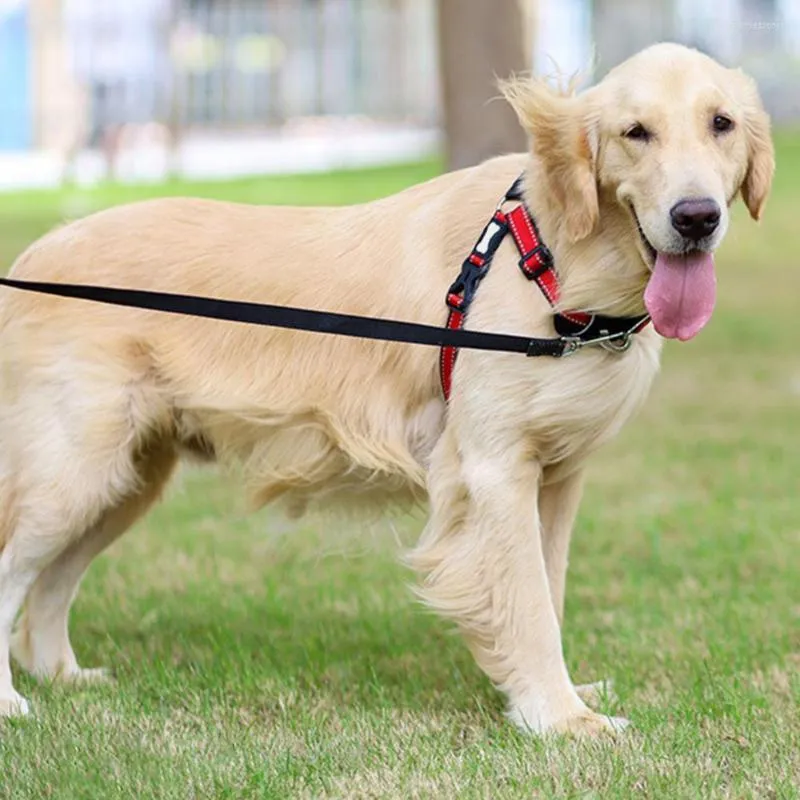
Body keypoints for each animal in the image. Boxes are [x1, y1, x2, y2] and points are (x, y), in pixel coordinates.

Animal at [0, 42, 776, 732]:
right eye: (634, 132)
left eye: (721, 123)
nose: (696, 217)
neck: (553, 260)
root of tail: (35, 255)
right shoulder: (494, 469)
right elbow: (526, 603)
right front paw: (559, 719)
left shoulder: (557, 478)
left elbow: (546, 593)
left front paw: (554, 698)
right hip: (73, 472)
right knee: (13, 573)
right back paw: (12, 703)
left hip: (125, 478)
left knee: (49, 588)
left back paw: (65, 676)